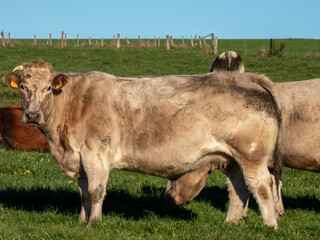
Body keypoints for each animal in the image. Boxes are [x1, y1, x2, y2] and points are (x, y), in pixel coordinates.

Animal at [3, 60, 282, 229]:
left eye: (48, 88)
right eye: (23, 87)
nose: (32, 115)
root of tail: (251, 79)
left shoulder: (95, 156)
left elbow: (95, 192)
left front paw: (94, 223)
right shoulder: (79, 159)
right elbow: (83, 193)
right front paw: (82, 220)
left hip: (252, 156)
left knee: (262, 186)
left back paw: (270, 225)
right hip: (232, 159)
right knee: (238, 190)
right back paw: (230, 224)